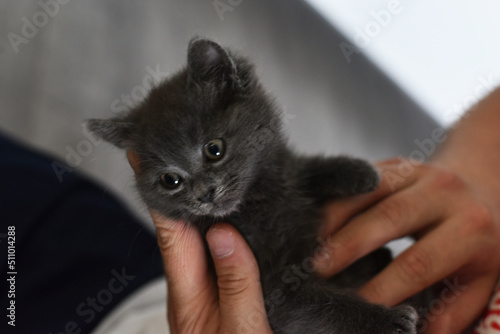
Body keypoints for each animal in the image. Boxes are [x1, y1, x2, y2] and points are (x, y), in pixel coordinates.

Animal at [88, 37, 420, 332]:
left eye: (214, 149)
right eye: (171, 180)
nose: (204, 194)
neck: (257, 201)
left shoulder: (282, 170)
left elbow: (301, 169)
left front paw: (356, 172)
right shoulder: (274, 290)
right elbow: (325, 305)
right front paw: (389, 322)